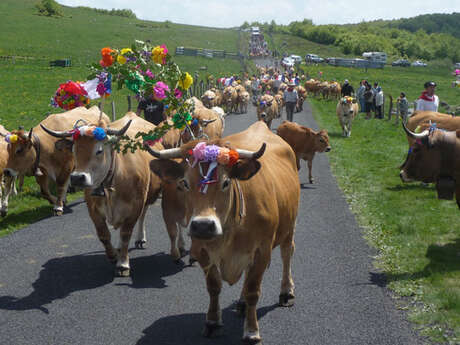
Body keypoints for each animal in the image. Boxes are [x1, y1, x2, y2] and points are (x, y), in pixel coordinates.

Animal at [40, 113, 174, 274]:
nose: (77, 178)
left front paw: (123, 263)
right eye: (74, 150)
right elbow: (103, 235)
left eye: (99, 150)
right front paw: (113, 256)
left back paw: (140, 238)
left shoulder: (135, 206)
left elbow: (125, 234)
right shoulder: (93, 209)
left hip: (148, 195)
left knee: (142, 216)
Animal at [146, 119, 300, 342]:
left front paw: (251, 331)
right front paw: (212, 322)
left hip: (289, 226)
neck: (230, 232)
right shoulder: (202, 251)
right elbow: (214, 287)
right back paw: (242, 303)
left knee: (287, 253)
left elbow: (254, 290)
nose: (203, 225)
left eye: (226, 182)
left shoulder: (262, 251)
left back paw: (286, 292)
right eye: (184, 183)